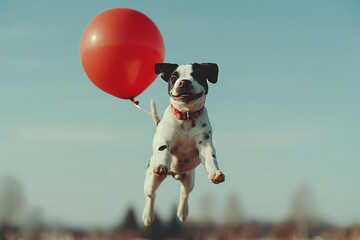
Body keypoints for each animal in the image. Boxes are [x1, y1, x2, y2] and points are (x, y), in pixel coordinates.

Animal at [141, 62, 224, 227]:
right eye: (174, 77)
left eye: (196, 75)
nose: (184, 82)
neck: (186, 116)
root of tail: (175, 174)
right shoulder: (165, 142)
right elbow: (164, 152)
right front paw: (162, 164)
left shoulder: (205, 145)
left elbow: (211, 159)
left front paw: (215, 173)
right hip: (151, 180)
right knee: (151, 195)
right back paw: (148, 215)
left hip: (189, 179)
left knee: (184, 193)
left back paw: (182, 212)